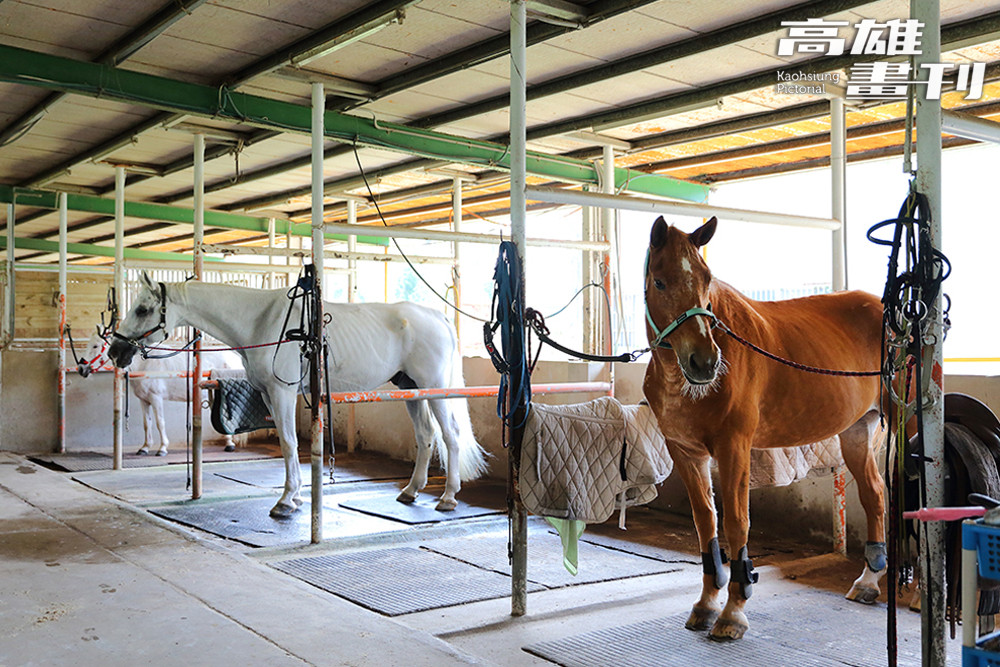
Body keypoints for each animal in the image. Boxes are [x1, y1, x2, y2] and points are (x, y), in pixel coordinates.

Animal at [78, 331, 246, 455]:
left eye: (95, 346)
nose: (81, 368)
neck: (144, 366)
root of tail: (235, 359)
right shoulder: (144, 400)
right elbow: (147, 423)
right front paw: (145, 448)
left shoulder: (156, 398)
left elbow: (160, 423)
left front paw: (162, 448)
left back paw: (230, 444)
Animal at [107, 272, 488, 518]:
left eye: (143, 309)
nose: (116, 351)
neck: (261, 321)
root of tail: (437, 316)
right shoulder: (270, 395)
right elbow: (287, 444)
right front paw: (297, 497)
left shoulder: (282, 393)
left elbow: (289, 444)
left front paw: (286, 501)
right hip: (411, 390)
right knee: (425, 436)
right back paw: (411, 491)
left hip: (436, 390)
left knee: (450, 436)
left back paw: (448, 497)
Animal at [641, 215, 887, 641]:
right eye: (659, 281)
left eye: (707, 279)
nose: (705, 362)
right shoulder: (686, 452)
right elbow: (706, 522)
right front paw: (706, 604)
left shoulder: (734, 447)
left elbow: (737, 523)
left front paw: (732, 612)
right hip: (857, 431)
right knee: (875, 495)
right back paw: (867, 583)